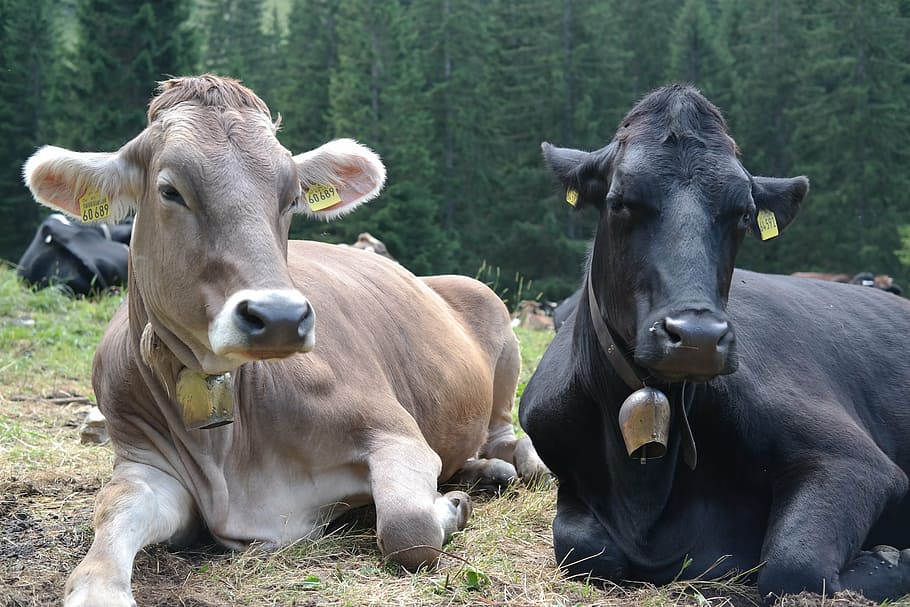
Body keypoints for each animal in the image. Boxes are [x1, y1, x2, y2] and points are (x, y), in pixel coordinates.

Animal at [24, 75, 547, 607]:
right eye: (170, 191)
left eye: (292, 194)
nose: (278, 316)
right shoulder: (148, 465)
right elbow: (113, 510)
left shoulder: (394, 431)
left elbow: (409, 527)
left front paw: (452, 507)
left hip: (492, 323)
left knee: (505, 436)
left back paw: (514, 465)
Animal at [518, 84, 910, 604]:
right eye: (620, 201)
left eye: (744, 213)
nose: (698, 338)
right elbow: (581, 547)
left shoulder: (852, 460)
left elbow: (794, 565)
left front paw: (892, 558)